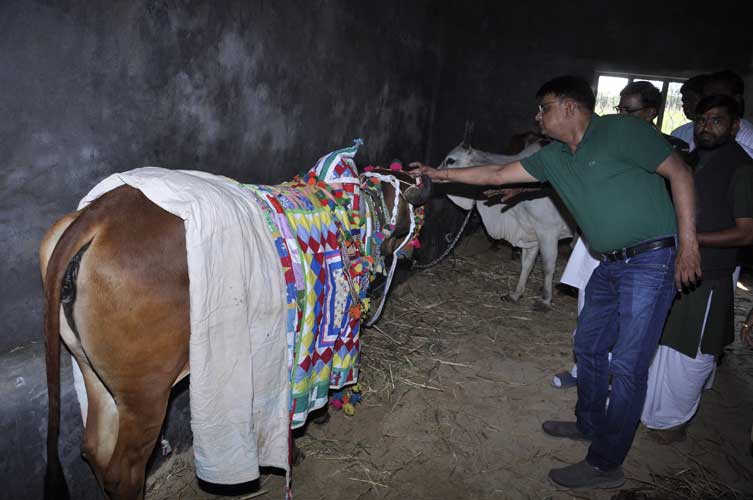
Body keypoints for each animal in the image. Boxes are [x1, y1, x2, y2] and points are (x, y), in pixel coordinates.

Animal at [40, 163, 431, 500]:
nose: (411, 254)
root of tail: (100, 214)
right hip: (145, 393)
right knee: (123, 471)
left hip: (94, 375)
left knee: (94, 448)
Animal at [440, 139, 573, 310]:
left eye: (450, 160)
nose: (435, 172)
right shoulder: (531, 233)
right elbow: (526, 264)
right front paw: (516, 294)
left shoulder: (548, 231)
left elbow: (548, 266)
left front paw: (545, 300)